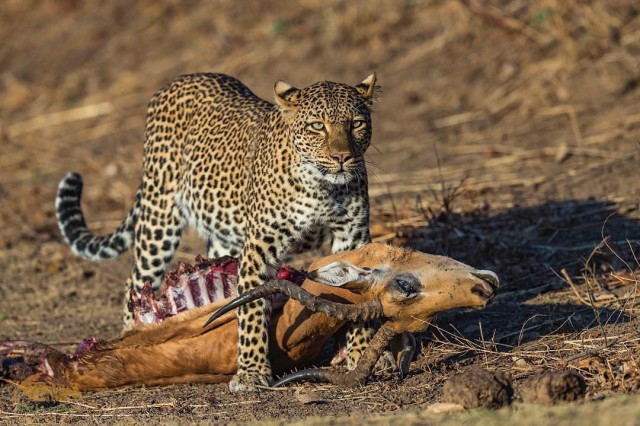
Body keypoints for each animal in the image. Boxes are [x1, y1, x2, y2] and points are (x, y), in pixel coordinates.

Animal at [55, 71, 380, 392]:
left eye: (356, 124)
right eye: (317, 126)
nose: (342, 158)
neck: (321, 187)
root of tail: (182, 79)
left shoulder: (353, 239)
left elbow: (357, 294)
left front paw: (362, 354)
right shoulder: (258, 249)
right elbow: (250, 309)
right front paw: (251, 371)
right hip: (159, 215)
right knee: (136, 281)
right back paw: (131, 335)